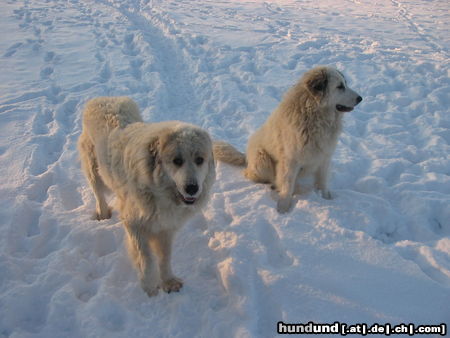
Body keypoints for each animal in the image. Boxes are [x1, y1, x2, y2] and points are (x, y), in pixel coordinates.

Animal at [79, 95, 216, 296]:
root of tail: (102, 98)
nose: (192, 188)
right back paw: (103, 215)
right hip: (94, 170)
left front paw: (168, 281)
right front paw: (149, 287)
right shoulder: (135, 224)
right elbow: (146, 258)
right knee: (99, 194)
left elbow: (165, 256)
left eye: (200, 160)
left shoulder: (166, 226)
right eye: (177, 161)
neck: (157, 190)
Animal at [214, 65, 362, 213]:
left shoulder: (324, 157)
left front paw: (325, 197)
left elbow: (323, 180)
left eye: (345, 84)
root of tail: (246, 157)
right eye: (340, 86)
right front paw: (284, 206)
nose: (360, 98)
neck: (315, 117)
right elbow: (288, 184)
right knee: (252, 174)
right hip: (262, 159)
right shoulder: (291, 160)